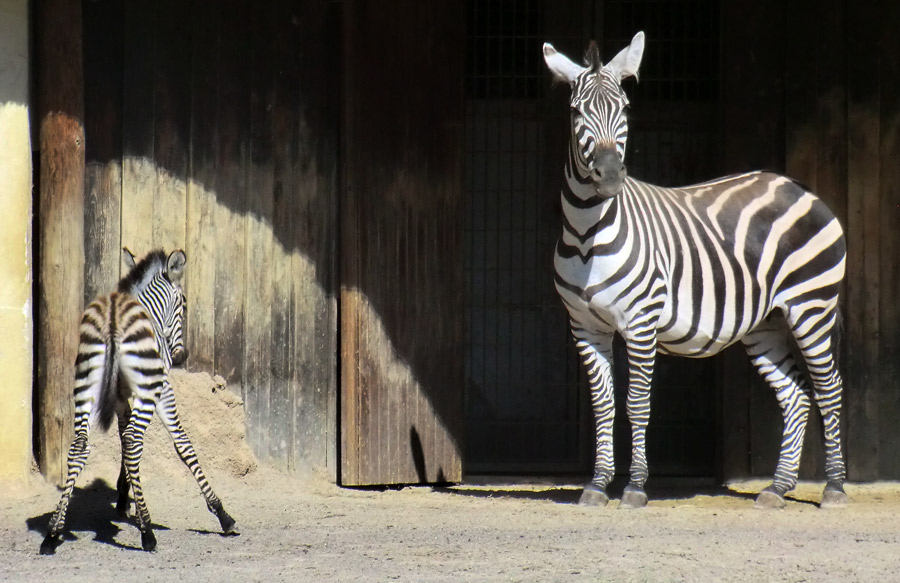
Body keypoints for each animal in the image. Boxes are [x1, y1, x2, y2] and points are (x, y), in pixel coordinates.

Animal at [39, 248, 236, 556]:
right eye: (184, 305)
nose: (181, 355)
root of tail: (113, 322)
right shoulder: (163, 390)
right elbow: (182, 445)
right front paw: (222, 514)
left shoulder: (120, 397)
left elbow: (121, 437)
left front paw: (123, 495)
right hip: (147, 389)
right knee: (134, 440)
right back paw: (147, 532)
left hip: (85, 385)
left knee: (81, 445)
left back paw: (53, 532)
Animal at [544, 34, 848, 512]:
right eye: (576, 112)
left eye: (625, 108)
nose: (609, 177)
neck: (586, 231)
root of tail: (796, 186)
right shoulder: (585, 327)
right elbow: (603, 406)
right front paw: (596, 484)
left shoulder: (641, 321)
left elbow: (637, 403)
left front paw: (635, 487)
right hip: (767, 323)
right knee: (796, 396)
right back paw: (777, 488)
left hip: (811, 306)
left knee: (828, 388)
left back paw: (834, 488)